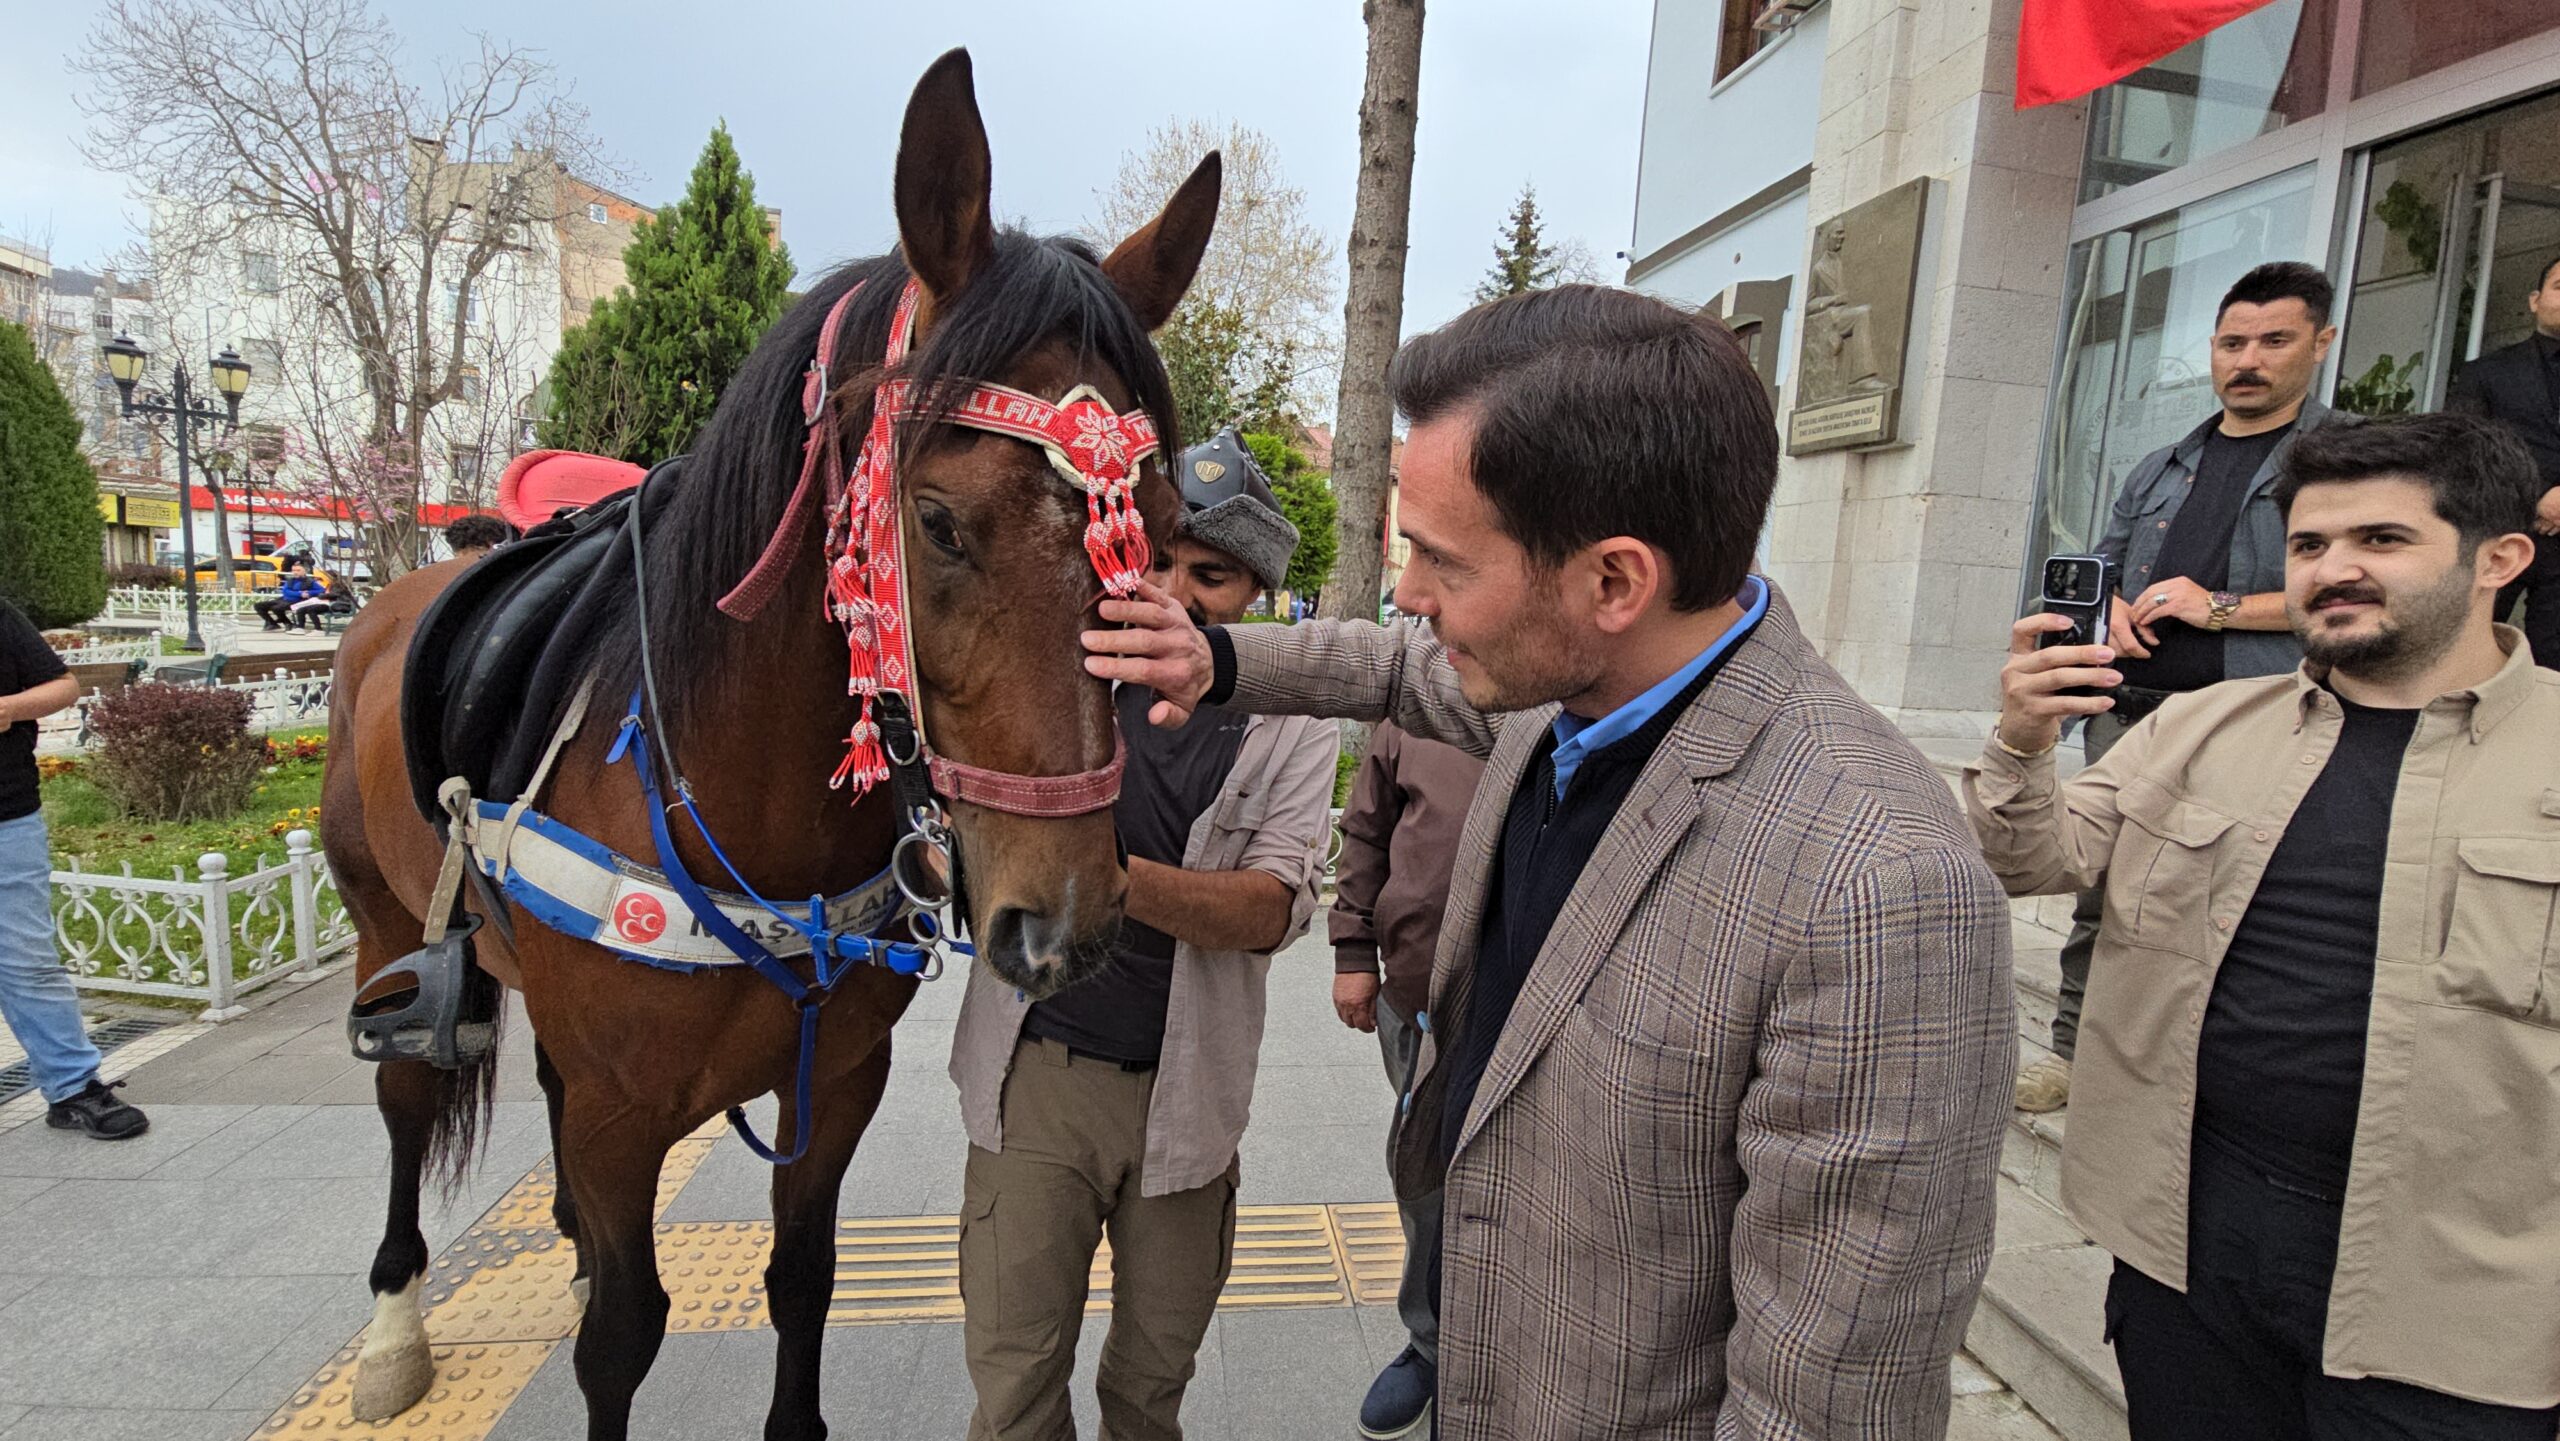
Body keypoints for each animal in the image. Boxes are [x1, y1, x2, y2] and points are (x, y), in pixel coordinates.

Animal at [317, 50, 1218, 1433]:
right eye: (938, 521)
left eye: (1158, 534)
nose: (1062, 925)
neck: (749, 810)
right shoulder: (625, 1117)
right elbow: (624, 1338)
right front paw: (588, 1305)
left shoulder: (832, 1082)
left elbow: (802, 1279)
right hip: (380, 922)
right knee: (410, 1100)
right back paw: (394, 1326)